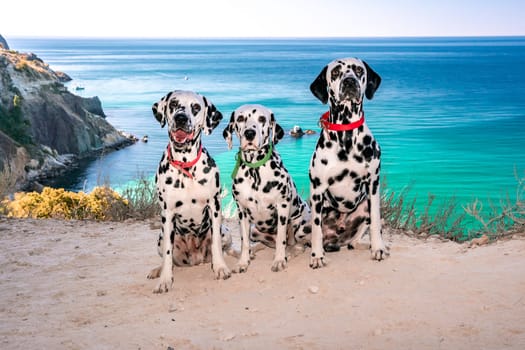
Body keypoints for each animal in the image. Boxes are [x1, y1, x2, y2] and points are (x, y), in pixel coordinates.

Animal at [146, 89, 230, 292]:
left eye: (196, 107)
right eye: (173, 104)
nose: (181, 118)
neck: (186, 167)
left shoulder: (214, 207)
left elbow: (216, 244)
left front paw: (220, 268)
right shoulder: (167, 214)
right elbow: (168, 255)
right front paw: (165, 280)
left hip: (226, 230)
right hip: (161, 237)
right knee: (166, 257)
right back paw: (157, 270)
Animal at [222, 104, 312, 274]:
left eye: (262, 119)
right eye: (240, 118)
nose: (249, 133)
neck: (254, 170)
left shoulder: (282, 207)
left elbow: (281, 239)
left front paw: (279, 260)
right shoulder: (242, 211)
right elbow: (244, 242)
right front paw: (243, 262)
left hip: (300, 224)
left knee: (297, 245)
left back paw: (289, 253)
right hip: (255, 231)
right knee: (260, 243)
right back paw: (253, 250)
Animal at [308, 57, 388, 268]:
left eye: (359, 70)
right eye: (336, 72)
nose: (350, 81)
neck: (347, 136)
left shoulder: (373, 184)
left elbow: (376, 222)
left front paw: (378, 248)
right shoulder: (317, 189)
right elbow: (316, 229)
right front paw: (317, 256)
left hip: (364, 206)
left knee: (355, 240)